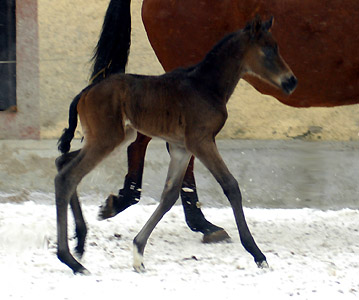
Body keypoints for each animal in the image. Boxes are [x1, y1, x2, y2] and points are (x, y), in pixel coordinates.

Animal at [55, 16, 298, 274]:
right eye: (268, 50)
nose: (291, 81)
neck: (206, 85)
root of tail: (84, 93)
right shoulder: (201, 141)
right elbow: (230, 186)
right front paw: (257, 254)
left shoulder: (182, 148)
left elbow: (169, 194)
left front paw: (138, 253)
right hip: (107, 138)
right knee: (67, 176)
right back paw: (71, 260)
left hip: (114, 138)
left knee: (63, 161)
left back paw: (80, 241)